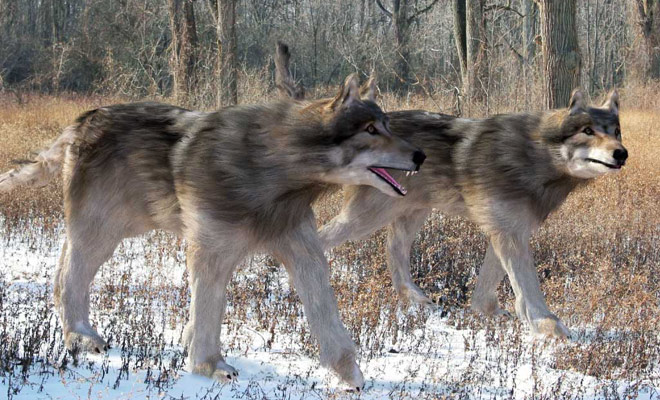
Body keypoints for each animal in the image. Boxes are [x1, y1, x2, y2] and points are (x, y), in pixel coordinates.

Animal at [0, 73, 426, 390]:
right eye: (370, 129)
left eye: (388, 124)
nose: (421, 155)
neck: (274, 170)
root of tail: (82, 120)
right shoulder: (209, 253)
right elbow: (208, 311)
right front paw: (209, 366)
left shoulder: (304, 251)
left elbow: (325, 312)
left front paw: (350, 374)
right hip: (101, 234)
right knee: (70, 279)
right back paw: (79, 337)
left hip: (111, 230)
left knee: (60, 272)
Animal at [274, 43, 628, 338]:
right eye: (588, 131)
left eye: (616, 131)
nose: (621, 153)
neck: (534, 156)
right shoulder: (508, 234)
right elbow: (528, 287)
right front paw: (549, 328)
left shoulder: (507, 231)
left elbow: (490, 287)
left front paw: (490, 315)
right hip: (366, 219)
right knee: (322, 242)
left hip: (412, 213)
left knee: (393, 251)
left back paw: (418, 302)